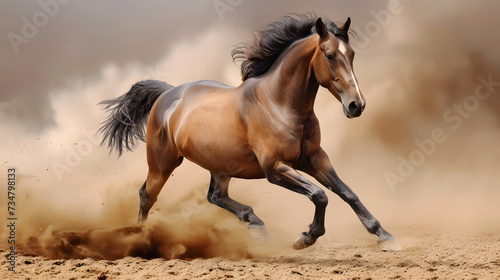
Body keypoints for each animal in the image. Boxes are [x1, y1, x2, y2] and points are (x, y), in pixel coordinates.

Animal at [98, 14, 402, 252]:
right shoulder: (274, 168)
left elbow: (347, 192)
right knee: (146, 195)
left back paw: (256, 224)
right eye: (329, 55)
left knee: (215, 196)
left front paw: (384, 236)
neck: (279, 104)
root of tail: (168, 93)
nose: (357, 105)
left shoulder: (315, 159)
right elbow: (320, 195)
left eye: (352, 55)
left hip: (220, 166)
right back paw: (140, 240)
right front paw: (305, 238)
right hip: (162, 163)